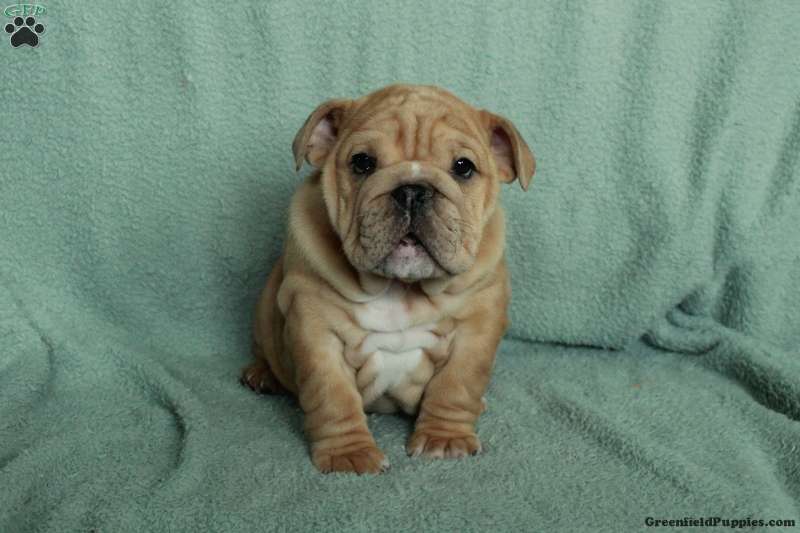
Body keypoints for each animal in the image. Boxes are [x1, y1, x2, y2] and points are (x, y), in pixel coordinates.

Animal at [241, 84, 535, 474]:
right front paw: (348, 454)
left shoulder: (478, 326)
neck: (402, 289)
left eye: (463, 167)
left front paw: (445, 439)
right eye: (362, 162)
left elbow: (456, 385)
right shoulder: (315, 329)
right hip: (264, 307)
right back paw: (261, 375)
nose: (412, 189)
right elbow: (332, 397)